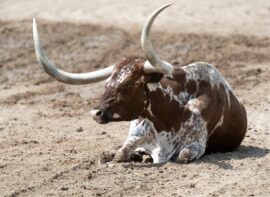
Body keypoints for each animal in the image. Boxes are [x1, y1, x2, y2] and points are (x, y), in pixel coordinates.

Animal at [32, 3, 247, 164]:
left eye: (128, 84)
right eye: (107, 83)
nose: (96, 113)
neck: (170, 114)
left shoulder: (196, 144)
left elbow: (183, 155)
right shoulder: (136, 134)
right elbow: (120, 152)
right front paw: (129, 154)